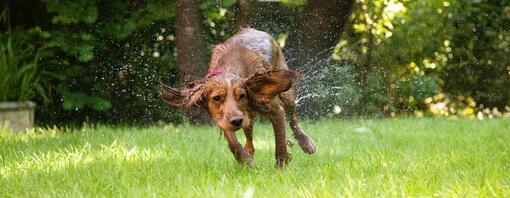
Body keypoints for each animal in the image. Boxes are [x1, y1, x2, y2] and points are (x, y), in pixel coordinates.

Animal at [161, 27, 316, 169]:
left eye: (242, 96)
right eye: (217, 98)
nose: (236, 121)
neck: (232, 67)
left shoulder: (275, 109)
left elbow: (280, 142)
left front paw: (281, 169)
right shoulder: (222, 118)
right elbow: (233, 142)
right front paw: (245, 160)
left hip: (286, 95)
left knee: (293, 118)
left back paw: (307, 143)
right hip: (249, 117)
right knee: (249, 137)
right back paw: (249, 152)